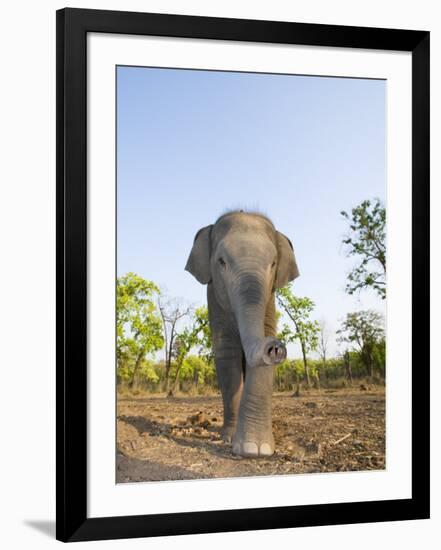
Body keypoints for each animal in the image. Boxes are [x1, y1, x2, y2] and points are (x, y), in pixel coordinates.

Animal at [184, 209, 298, 460]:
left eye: (273, 263)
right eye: (221, 262)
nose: (275, 347)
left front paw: (257, 449)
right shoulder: (214, 298)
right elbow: (227, 355)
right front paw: (230, 439)